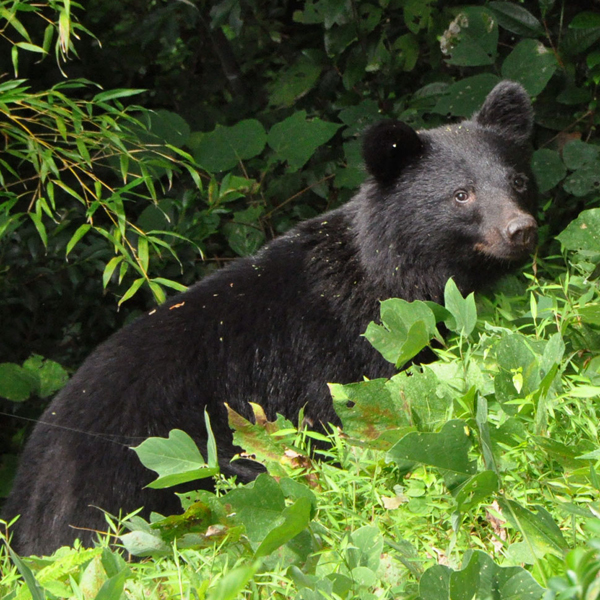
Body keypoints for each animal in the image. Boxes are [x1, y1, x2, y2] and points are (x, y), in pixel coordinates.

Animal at [2, 81, 538, 556]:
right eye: (461, 194)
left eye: (517, 180)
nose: (521, 229)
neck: (392, 275)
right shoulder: (334, 349)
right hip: (141, 477)